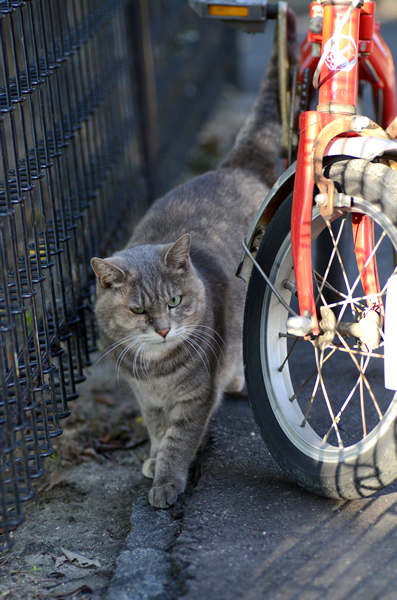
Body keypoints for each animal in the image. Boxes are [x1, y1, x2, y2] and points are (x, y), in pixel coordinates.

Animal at [90, 11, 296, 508]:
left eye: (176, 301)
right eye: (139, 310)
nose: (164, 329)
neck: (156, 371)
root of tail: (237, 164)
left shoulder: (195, 398)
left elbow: (179, 439)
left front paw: (166, 480)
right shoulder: (146, 399)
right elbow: (156, 430)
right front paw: (152, 459)